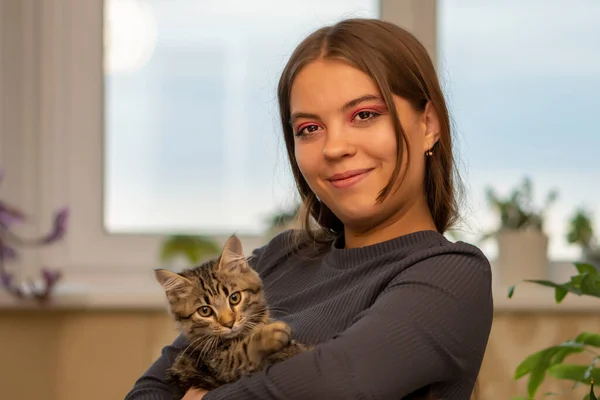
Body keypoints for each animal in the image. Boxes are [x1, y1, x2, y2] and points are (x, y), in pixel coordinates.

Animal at [155, 233, 310, 392]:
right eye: (205, 311)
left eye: (234, 298)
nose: (229, 323)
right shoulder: (220, 365)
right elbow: (243, 351)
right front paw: (269, 335)